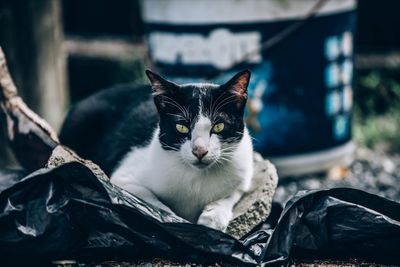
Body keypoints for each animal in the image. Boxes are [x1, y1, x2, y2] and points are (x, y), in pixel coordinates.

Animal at [60, 69, 253, 232]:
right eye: (181, 127)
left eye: (219, 126)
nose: (200, 151)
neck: (198, 179)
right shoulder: (123, 177)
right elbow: (152, 202)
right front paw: (175, 221)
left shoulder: (243, 174)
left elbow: (232, 194)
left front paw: (213, 218)